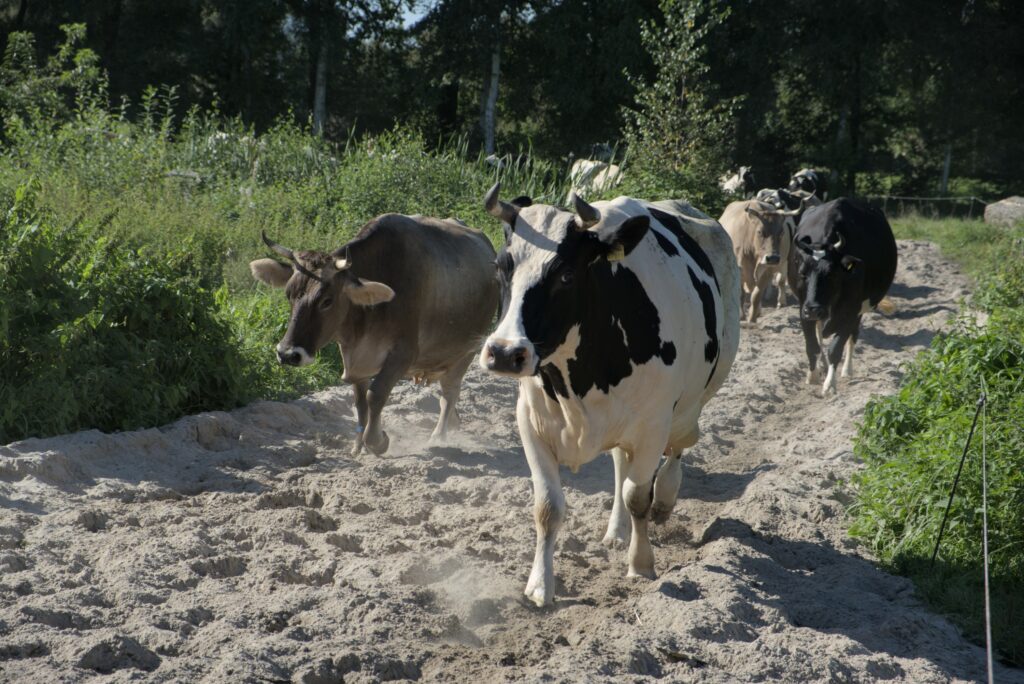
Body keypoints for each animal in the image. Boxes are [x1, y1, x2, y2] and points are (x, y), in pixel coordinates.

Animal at [251, 214, 499, 454]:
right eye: (288, 294)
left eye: (326, 301)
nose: (287, 354)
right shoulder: (355, 360)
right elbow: (360, 402)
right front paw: (358, 445)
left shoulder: (403, 354)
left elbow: (376, 394)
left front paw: (377, 441)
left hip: (467, 349)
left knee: (450, 391)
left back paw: (439, 435)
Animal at [479, 184, 737, 606]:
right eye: (502, 266)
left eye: (566, 274)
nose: (503, 352)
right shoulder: (531, 422)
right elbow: (548, 506)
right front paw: (540, 585)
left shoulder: (653, 424)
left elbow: (638, 496)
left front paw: (641, 563)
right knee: (620, 463)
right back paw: (617, 531)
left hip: (691, 403)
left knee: (677, 448)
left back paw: (665, 499)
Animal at [782, 197, 897, 395]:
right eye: (802, 273)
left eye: (831, 274)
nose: (814, 309)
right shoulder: (803, 308)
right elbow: (812, 346)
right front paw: (812, 376)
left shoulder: (850, 311)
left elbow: (835, 349)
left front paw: (829, 384)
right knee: (820, 333)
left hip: (859, 310)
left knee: (853, 336)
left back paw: (846, 370)